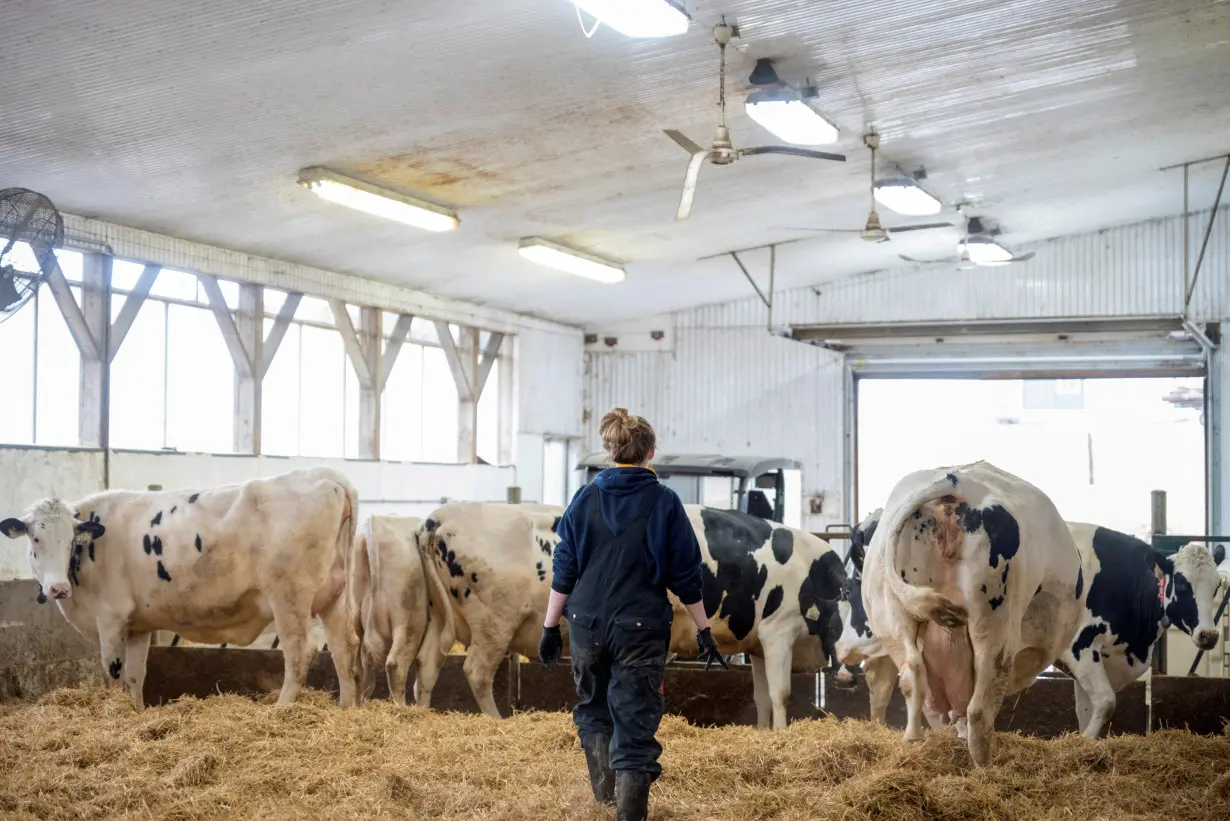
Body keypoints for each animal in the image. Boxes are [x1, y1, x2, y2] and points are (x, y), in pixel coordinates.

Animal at [0, 465, 361, 708]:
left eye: (71, 540)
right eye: (35, 538)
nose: (57, 588)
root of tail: (323, 473)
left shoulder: (110, 617)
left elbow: (113, 674)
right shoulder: (138, 626)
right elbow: (135, 676)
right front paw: (136, 712)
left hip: (289, 595)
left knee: (300, 652)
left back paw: (280, 709)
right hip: (334, 596)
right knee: (343, 647)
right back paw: (345, 708)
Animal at [413, 502, 846, 733]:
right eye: (841, 621)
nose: (847, 675)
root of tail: (441, 517)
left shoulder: (756, 643)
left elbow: (762, 696)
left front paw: (762, 732)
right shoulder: (778, 632)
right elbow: (781, 693)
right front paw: (781, 734)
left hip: (442, 622)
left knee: (428, 666)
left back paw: (419, 715)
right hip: (494, 626)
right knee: (476, 672)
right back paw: (496, 721)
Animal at [831, 504, 1225, 743]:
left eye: (1218, 586)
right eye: (1183, 585)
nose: (1209, 635)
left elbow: (1087, 708)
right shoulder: (1081, 648)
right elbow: (1106, 703)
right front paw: (1083, 744)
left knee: (885, 683)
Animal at [856, 460, 1087, 768]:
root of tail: (953, 482)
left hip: (890, 617)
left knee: (913, 678)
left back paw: (915, 741)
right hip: (994, 628)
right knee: (979, 709)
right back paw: (984, 767)